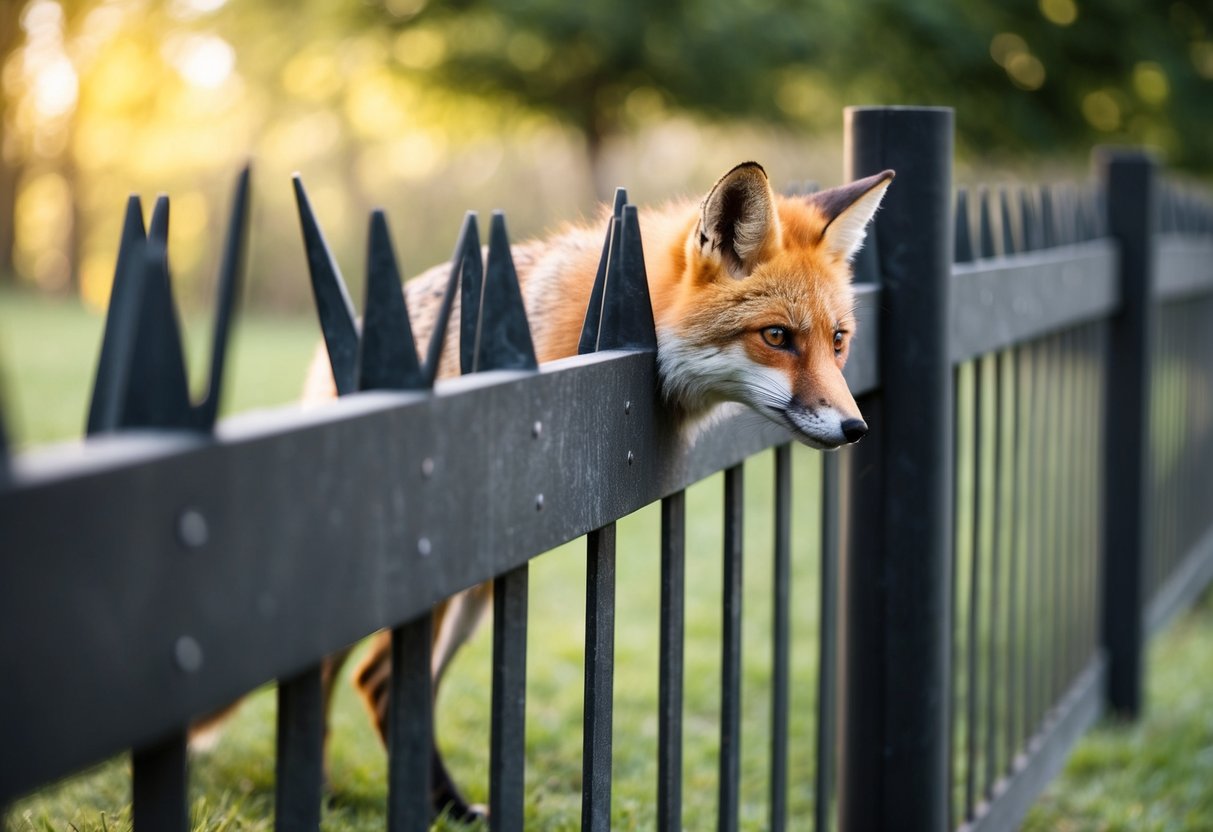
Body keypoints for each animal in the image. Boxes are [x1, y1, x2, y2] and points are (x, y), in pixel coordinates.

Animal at [195, 161, 893, 821]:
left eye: (838, 340)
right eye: (777, 337)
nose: (856, 428)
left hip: (470, 597)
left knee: (379, 685)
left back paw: (431, 803)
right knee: (361, 679)